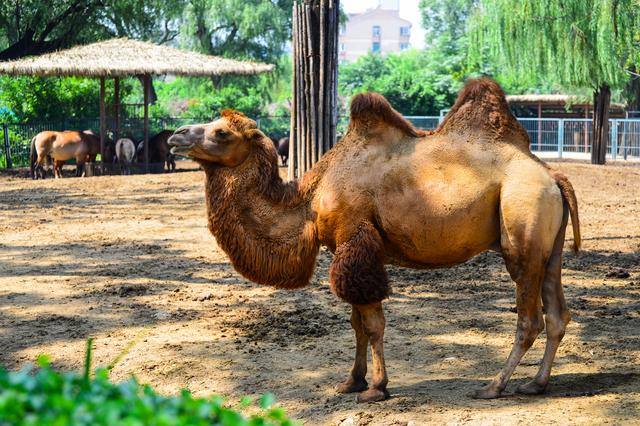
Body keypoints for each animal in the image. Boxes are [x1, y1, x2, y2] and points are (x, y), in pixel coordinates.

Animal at [169, 79, 580, 402]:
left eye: (221, 132)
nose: (175, 135)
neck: (309, 198)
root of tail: (553, 175)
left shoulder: (356, 240)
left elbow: (373, 323)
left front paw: (376, 388)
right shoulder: (348, 248)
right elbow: (355, 321)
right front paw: (351, 381)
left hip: (521, 228)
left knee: (530, 319)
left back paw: (494, 386)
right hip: (549, 247)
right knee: (557, 313)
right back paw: (536, 383)